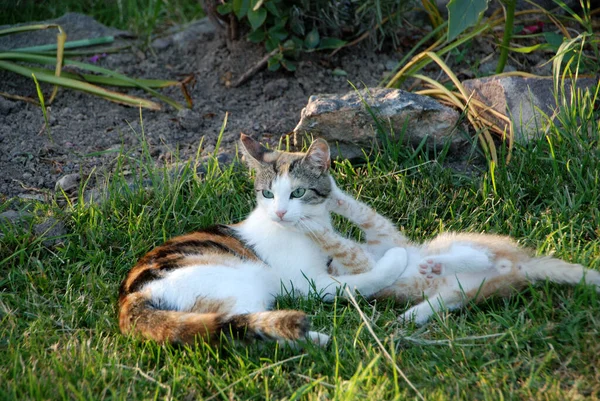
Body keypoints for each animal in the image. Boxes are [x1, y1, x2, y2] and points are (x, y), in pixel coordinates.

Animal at [117, 133, 408, 346]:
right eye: (268, 194)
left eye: (298, 192)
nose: (280, 212)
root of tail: (132, 296)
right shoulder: (307, 283)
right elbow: (356, 283)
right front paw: (395, 259)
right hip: (239, 283)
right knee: (239, 334)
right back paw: (317, 340)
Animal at [296, 175, 600, 324]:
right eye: (327, 265)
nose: (328, 264)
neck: (374, 250)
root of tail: (520, 266)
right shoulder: (364, 261)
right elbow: (341, 243)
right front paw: (309, 224)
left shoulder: (384, 234)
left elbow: (361, 212)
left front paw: (326, 199)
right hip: (467, 291)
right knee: (462, 283)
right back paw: (416, 308)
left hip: (459, 243)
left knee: (479, 256)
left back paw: (436, 267)